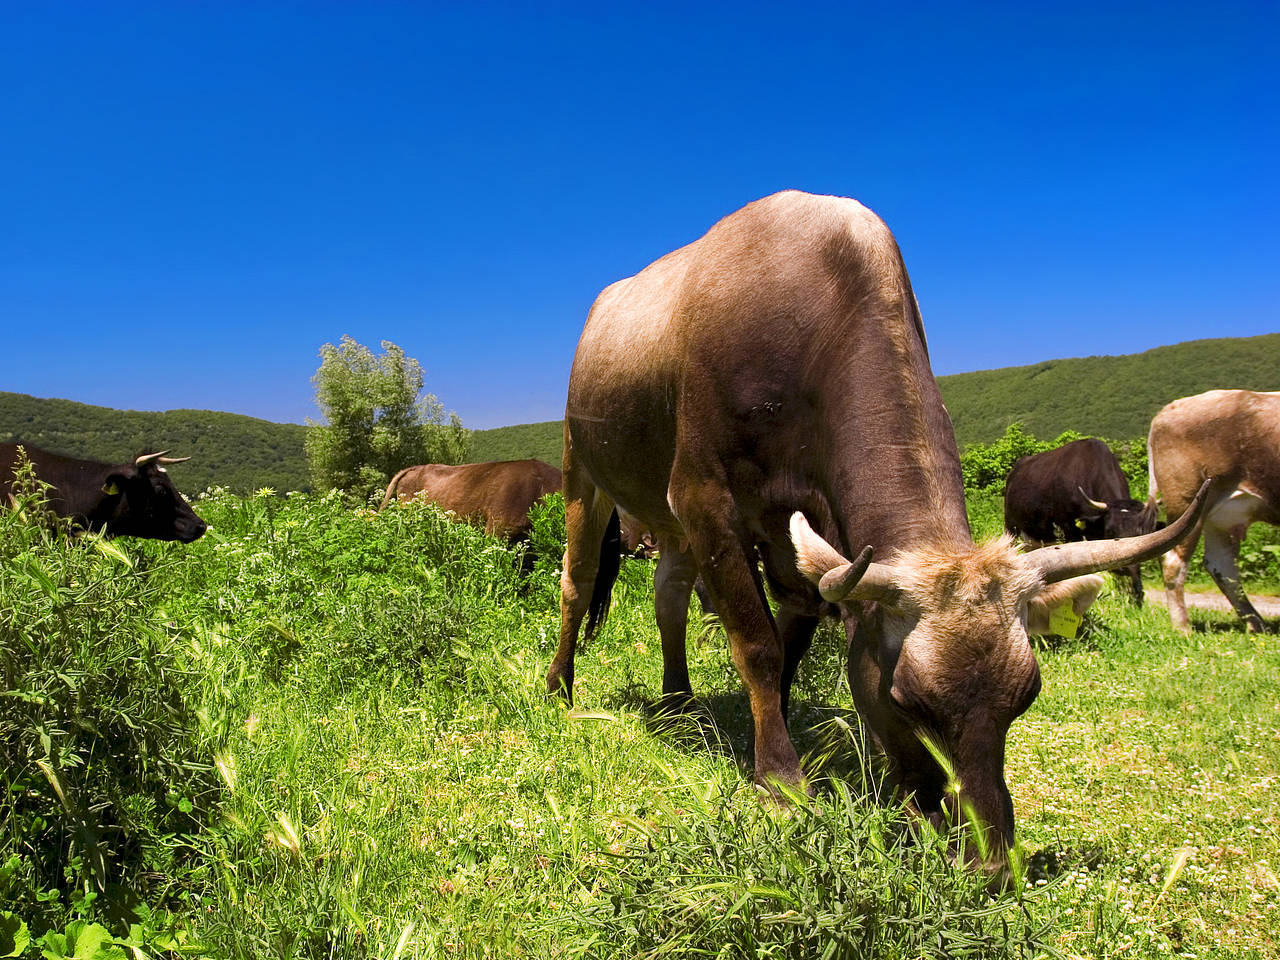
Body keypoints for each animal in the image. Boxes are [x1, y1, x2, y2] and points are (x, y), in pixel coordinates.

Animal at [1152, 386, 1280, 634]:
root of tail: (1169, 409)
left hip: (1224, 515)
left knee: (1221, 565)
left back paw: (1256, 624)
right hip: (1188, 501)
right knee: (1173, 561)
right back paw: (1182, 627)